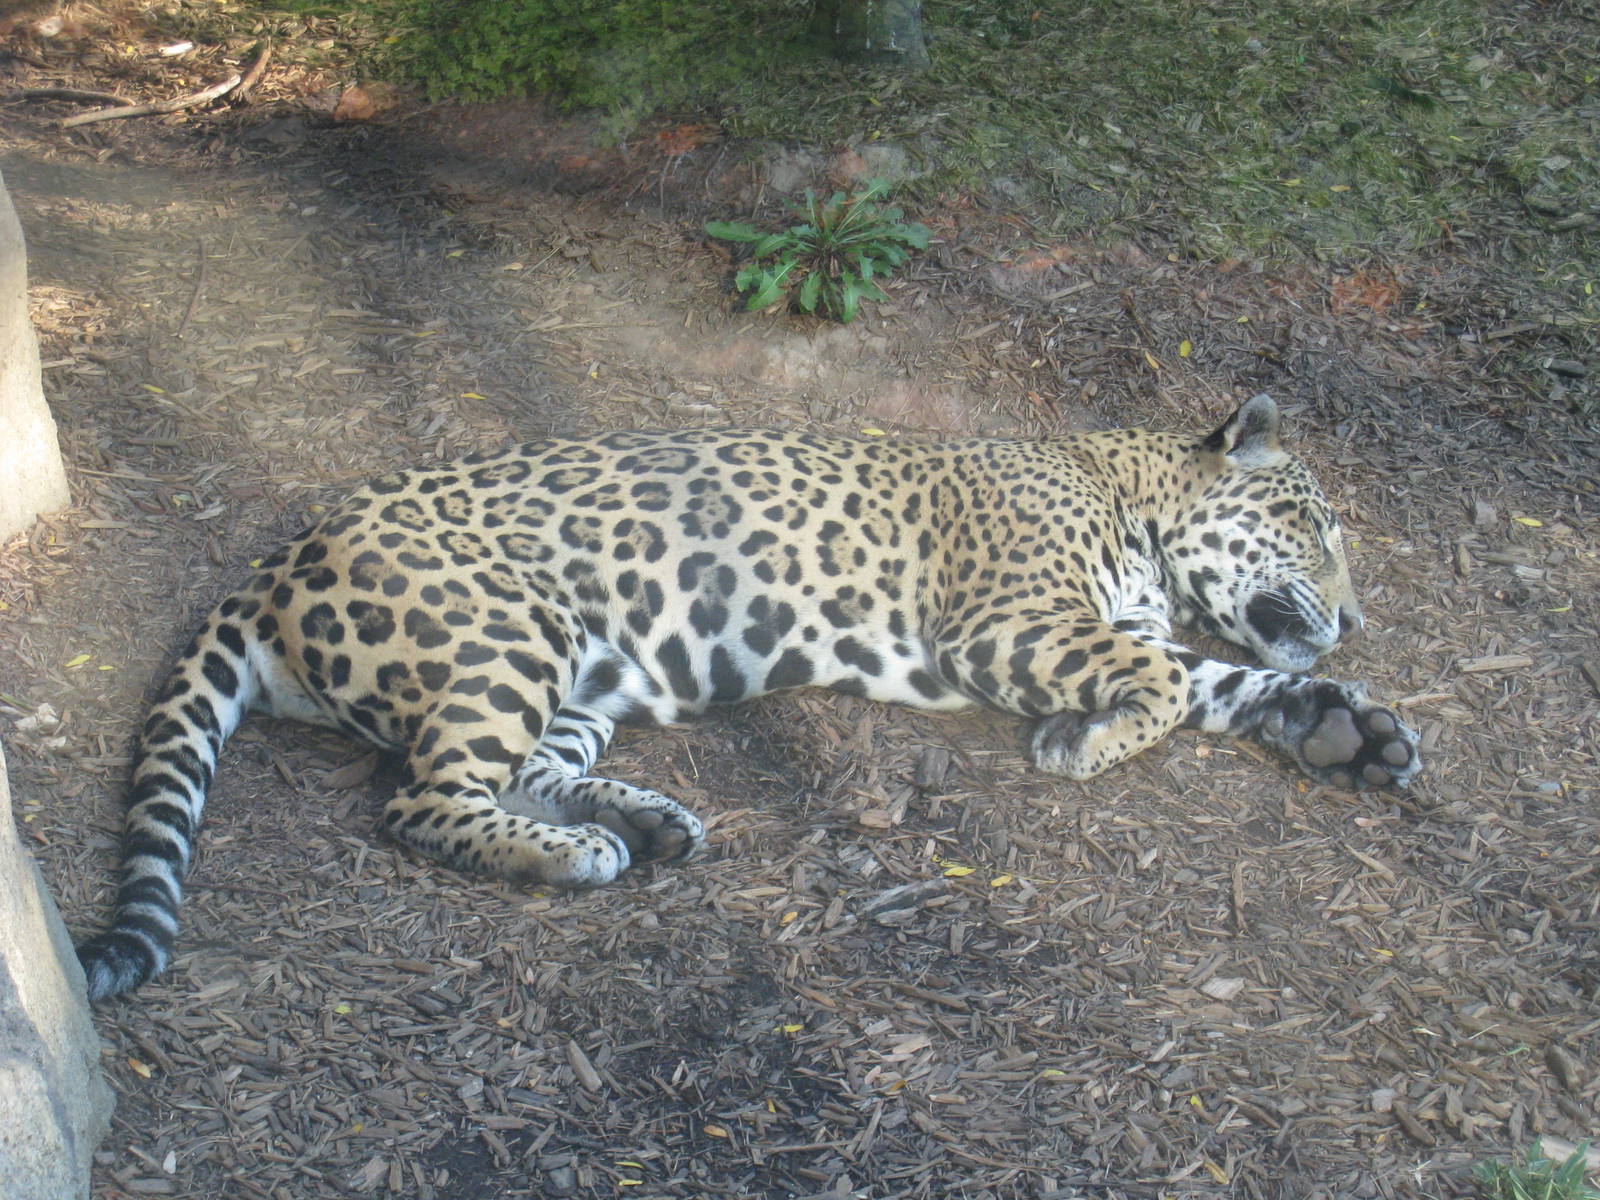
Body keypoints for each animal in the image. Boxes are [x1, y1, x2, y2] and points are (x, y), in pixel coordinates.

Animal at [77, 393, 1420, 1000]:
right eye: (1314, 523)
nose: (1357, 617)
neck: (1127, 501)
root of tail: (276, 559)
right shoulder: (1008, 625)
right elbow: (1157, 684)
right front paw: (1078, 747)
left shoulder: (1105, 626)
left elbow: (1218, 678)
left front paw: (1347, 732)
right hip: (508, 632)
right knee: (420, 797)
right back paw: (580, 856)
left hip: (585, 667)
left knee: (528, 768)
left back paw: (647, 821)